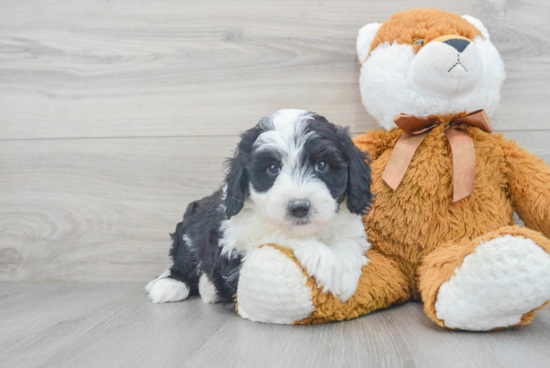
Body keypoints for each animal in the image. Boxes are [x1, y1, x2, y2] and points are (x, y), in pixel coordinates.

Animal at [147, 108, 376, 304]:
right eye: (273, 168)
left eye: (321, 165)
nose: (299, 207)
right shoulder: (234, 240)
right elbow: (275, 235)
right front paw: (325, 262)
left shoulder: (350, 227)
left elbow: (350, 242)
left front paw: (344, 276)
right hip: (189, 229)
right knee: (185, 260)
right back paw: (169, 285)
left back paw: (207, 289)